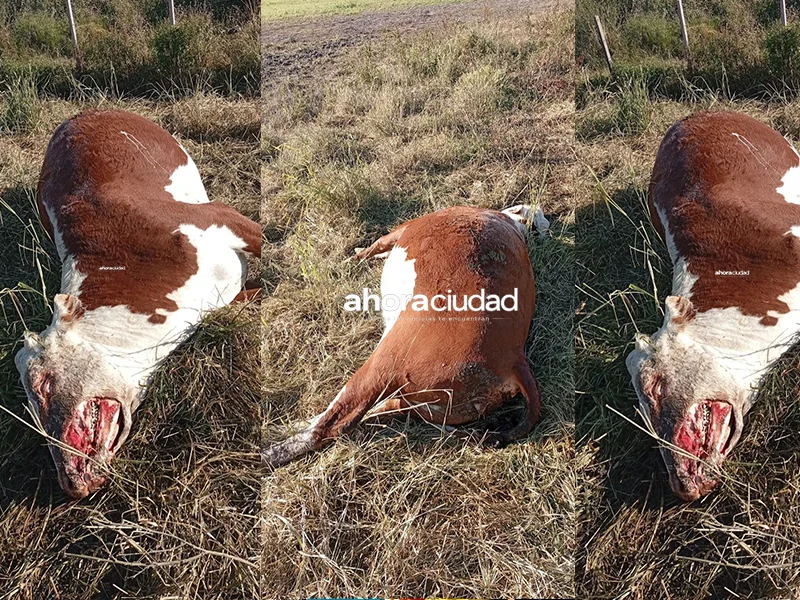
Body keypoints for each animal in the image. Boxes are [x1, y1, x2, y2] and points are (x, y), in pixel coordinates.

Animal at [263, 204, 548, 468]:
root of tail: (514, 360)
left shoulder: (400, 230)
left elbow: (373, 247)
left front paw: (347, 261)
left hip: (384, 365)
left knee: (332, 424)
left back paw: (269, 453)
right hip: (421, 403)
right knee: (368, 414)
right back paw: (279, 428)